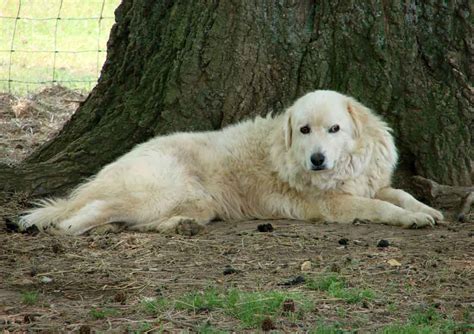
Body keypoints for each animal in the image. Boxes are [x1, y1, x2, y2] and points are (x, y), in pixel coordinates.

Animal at [17, 89, 440, 235]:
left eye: (334, 129)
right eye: (304, 130)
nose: (317, 160)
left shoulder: (371, 183)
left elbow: (398, 194)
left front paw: (425, 210)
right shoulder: (335, 204)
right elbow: (380, 208)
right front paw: (411, 219)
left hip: (197, 203)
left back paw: (178, 226)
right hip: (156, 192)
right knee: (78, 217)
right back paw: (72, 226)